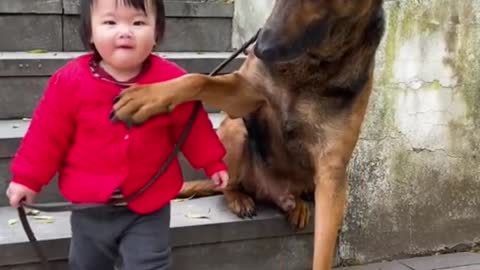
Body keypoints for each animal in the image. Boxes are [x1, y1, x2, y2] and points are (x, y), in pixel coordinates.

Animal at [111, 1, 386, 268]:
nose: (260, 48)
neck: (314, 63)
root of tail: (273, 190)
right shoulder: (244, 93)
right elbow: (197, 79)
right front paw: (148, 97)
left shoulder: (332, 173)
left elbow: (323, 254)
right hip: (237, 128)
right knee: (227, 185)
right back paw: (241, 199)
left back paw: (295, 206)